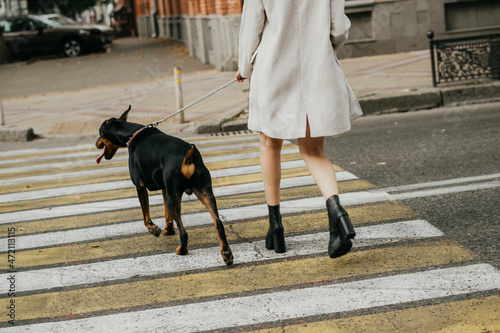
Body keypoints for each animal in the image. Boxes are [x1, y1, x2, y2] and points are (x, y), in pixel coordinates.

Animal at [96, 105, 234, 264]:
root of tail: (188, 156)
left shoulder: (140, 186)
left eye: (100, 133)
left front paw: (153, 229)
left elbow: (145, 215)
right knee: (218, 223)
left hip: (174, 196)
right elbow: (167, 214)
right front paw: (168, 230)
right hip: (203, 191)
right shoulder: (164, 188)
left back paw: (182, 250)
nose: (96, 143)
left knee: (183, 231)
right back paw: (226, 253)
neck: (131, 134)